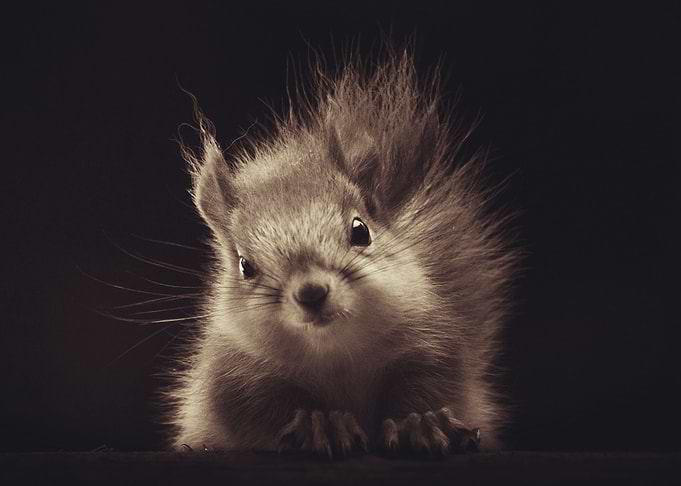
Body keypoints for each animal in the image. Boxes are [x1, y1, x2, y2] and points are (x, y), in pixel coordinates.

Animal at [166, 47, 518, 457]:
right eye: (245, 266)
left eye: (360, 231)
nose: (311, 292)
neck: (335, 352)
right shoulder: (236, 377)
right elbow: (262, 410)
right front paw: (321, 424)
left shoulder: (430, 344)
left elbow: (428, 386)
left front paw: (420, 422)